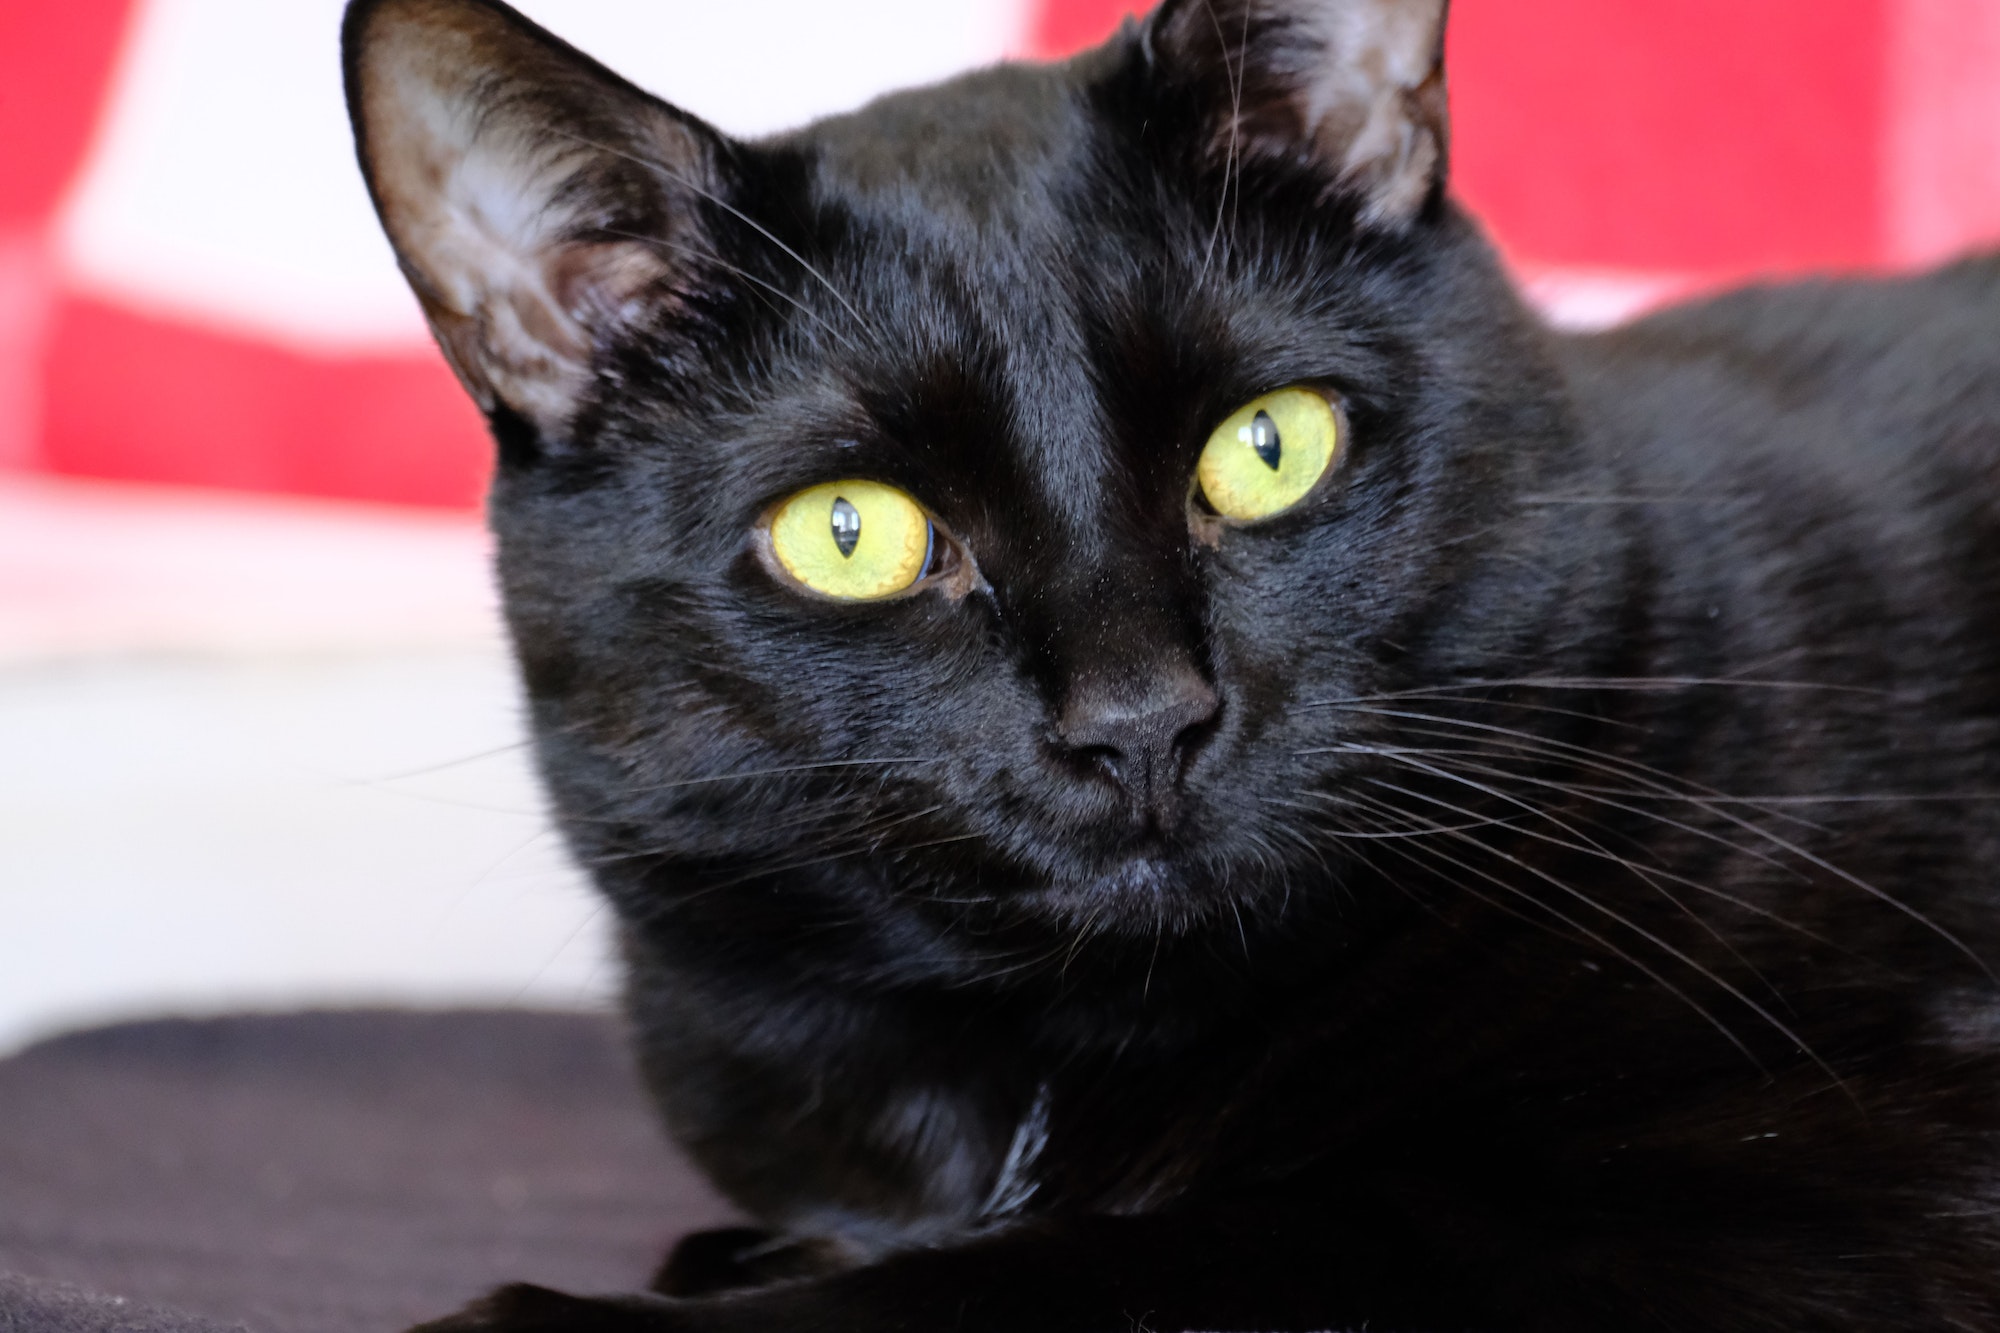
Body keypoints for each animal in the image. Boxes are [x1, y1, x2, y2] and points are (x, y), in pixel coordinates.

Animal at [344, 0, 2000, 1320]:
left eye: (1269, 447)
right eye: (848, 533)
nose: (1140, 719)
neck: (1037, 1073)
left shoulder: (1856, 1173)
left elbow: (1135, 1256)